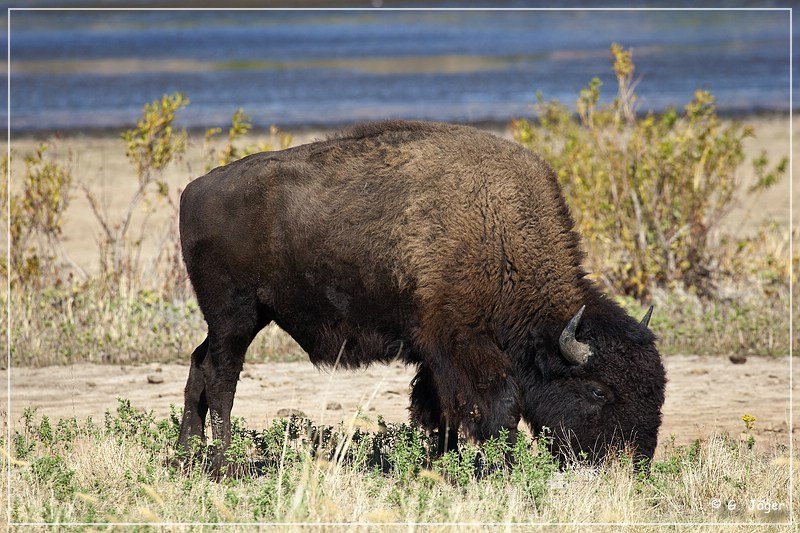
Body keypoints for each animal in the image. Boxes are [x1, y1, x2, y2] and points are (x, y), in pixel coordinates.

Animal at [177, 119, 668, 474]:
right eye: (598, 391)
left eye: (657, 390)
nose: (634, 464)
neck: (499, 233)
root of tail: (193, 190)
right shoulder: (460, 343)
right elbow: (498, 407)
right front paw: (503, 469)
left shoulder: (434, 353)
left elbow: (436, 410)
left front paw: (437, 465)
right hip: (235, 315)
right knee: (221, 375)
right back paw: (222, 466)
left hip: (239, 318)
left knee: (199, 363)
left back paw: (187, 456)